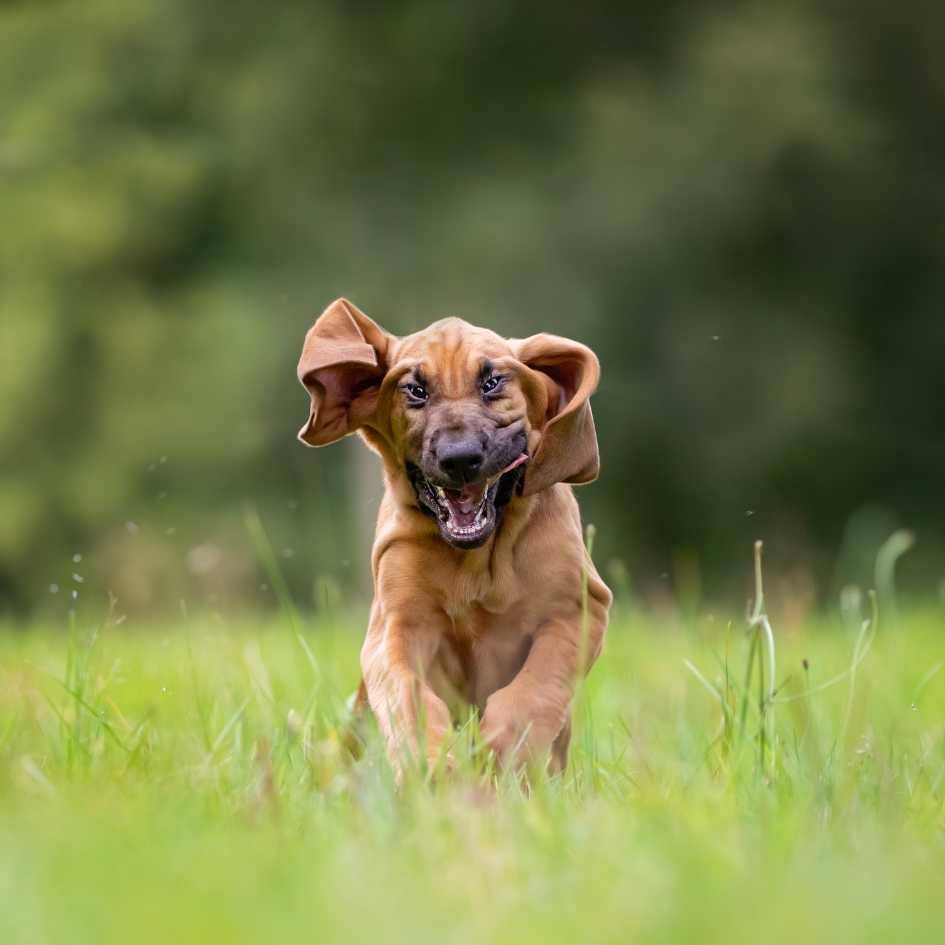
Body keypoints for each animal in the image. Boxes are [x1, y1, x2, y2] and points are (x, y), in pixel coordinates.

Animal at [296, 296, 612, 776]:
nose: (459, 458)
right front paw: (434, 765)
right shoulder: (396, 628)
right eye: (415, 390)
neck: (478, 559)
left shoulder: (577, 610)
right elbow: (410, 699)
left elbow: (534, 690)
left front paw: (500, 752)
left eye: (492, 382)